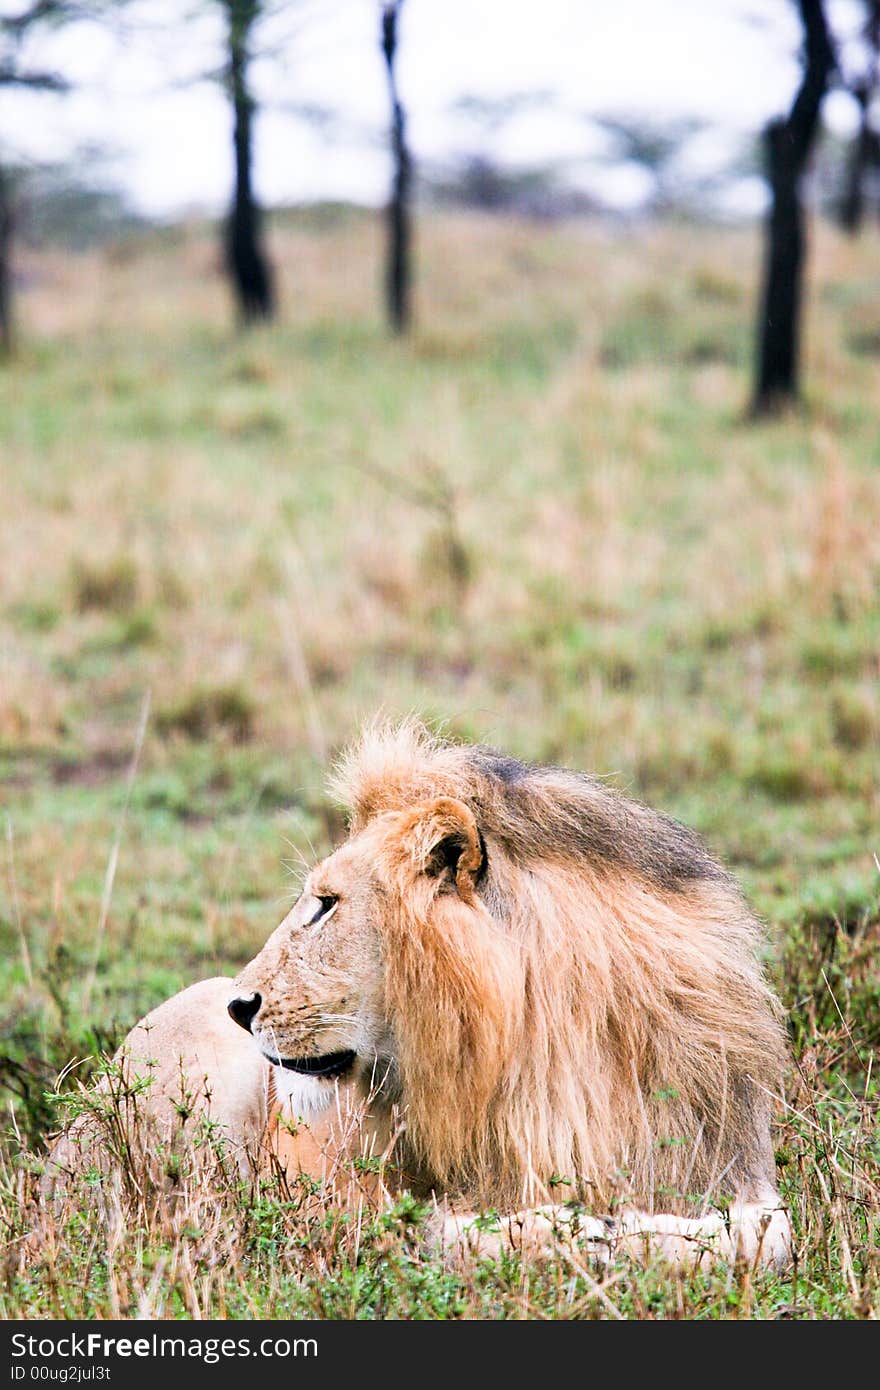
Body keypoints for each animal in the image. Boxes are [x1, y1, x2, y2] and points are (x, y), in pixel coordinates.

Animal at [44, 728, 795, 1273]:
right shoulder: (346, 1206)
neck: (545, 1049)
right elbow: (451, 1231)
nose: (241, 1005)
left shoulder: (733, 1162)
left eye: (326, 904)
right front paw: (585, 1232)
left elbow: (768, 1234)